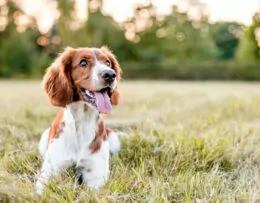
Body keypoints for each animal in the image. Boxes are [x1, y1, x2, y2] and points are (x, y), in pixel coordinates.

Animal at [35, 46, 122, 193]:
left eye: (108, 63)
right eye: (83, 62)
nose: (110, 74)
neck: (82, 122)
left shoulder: (96, 174)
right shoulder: (49, 171)